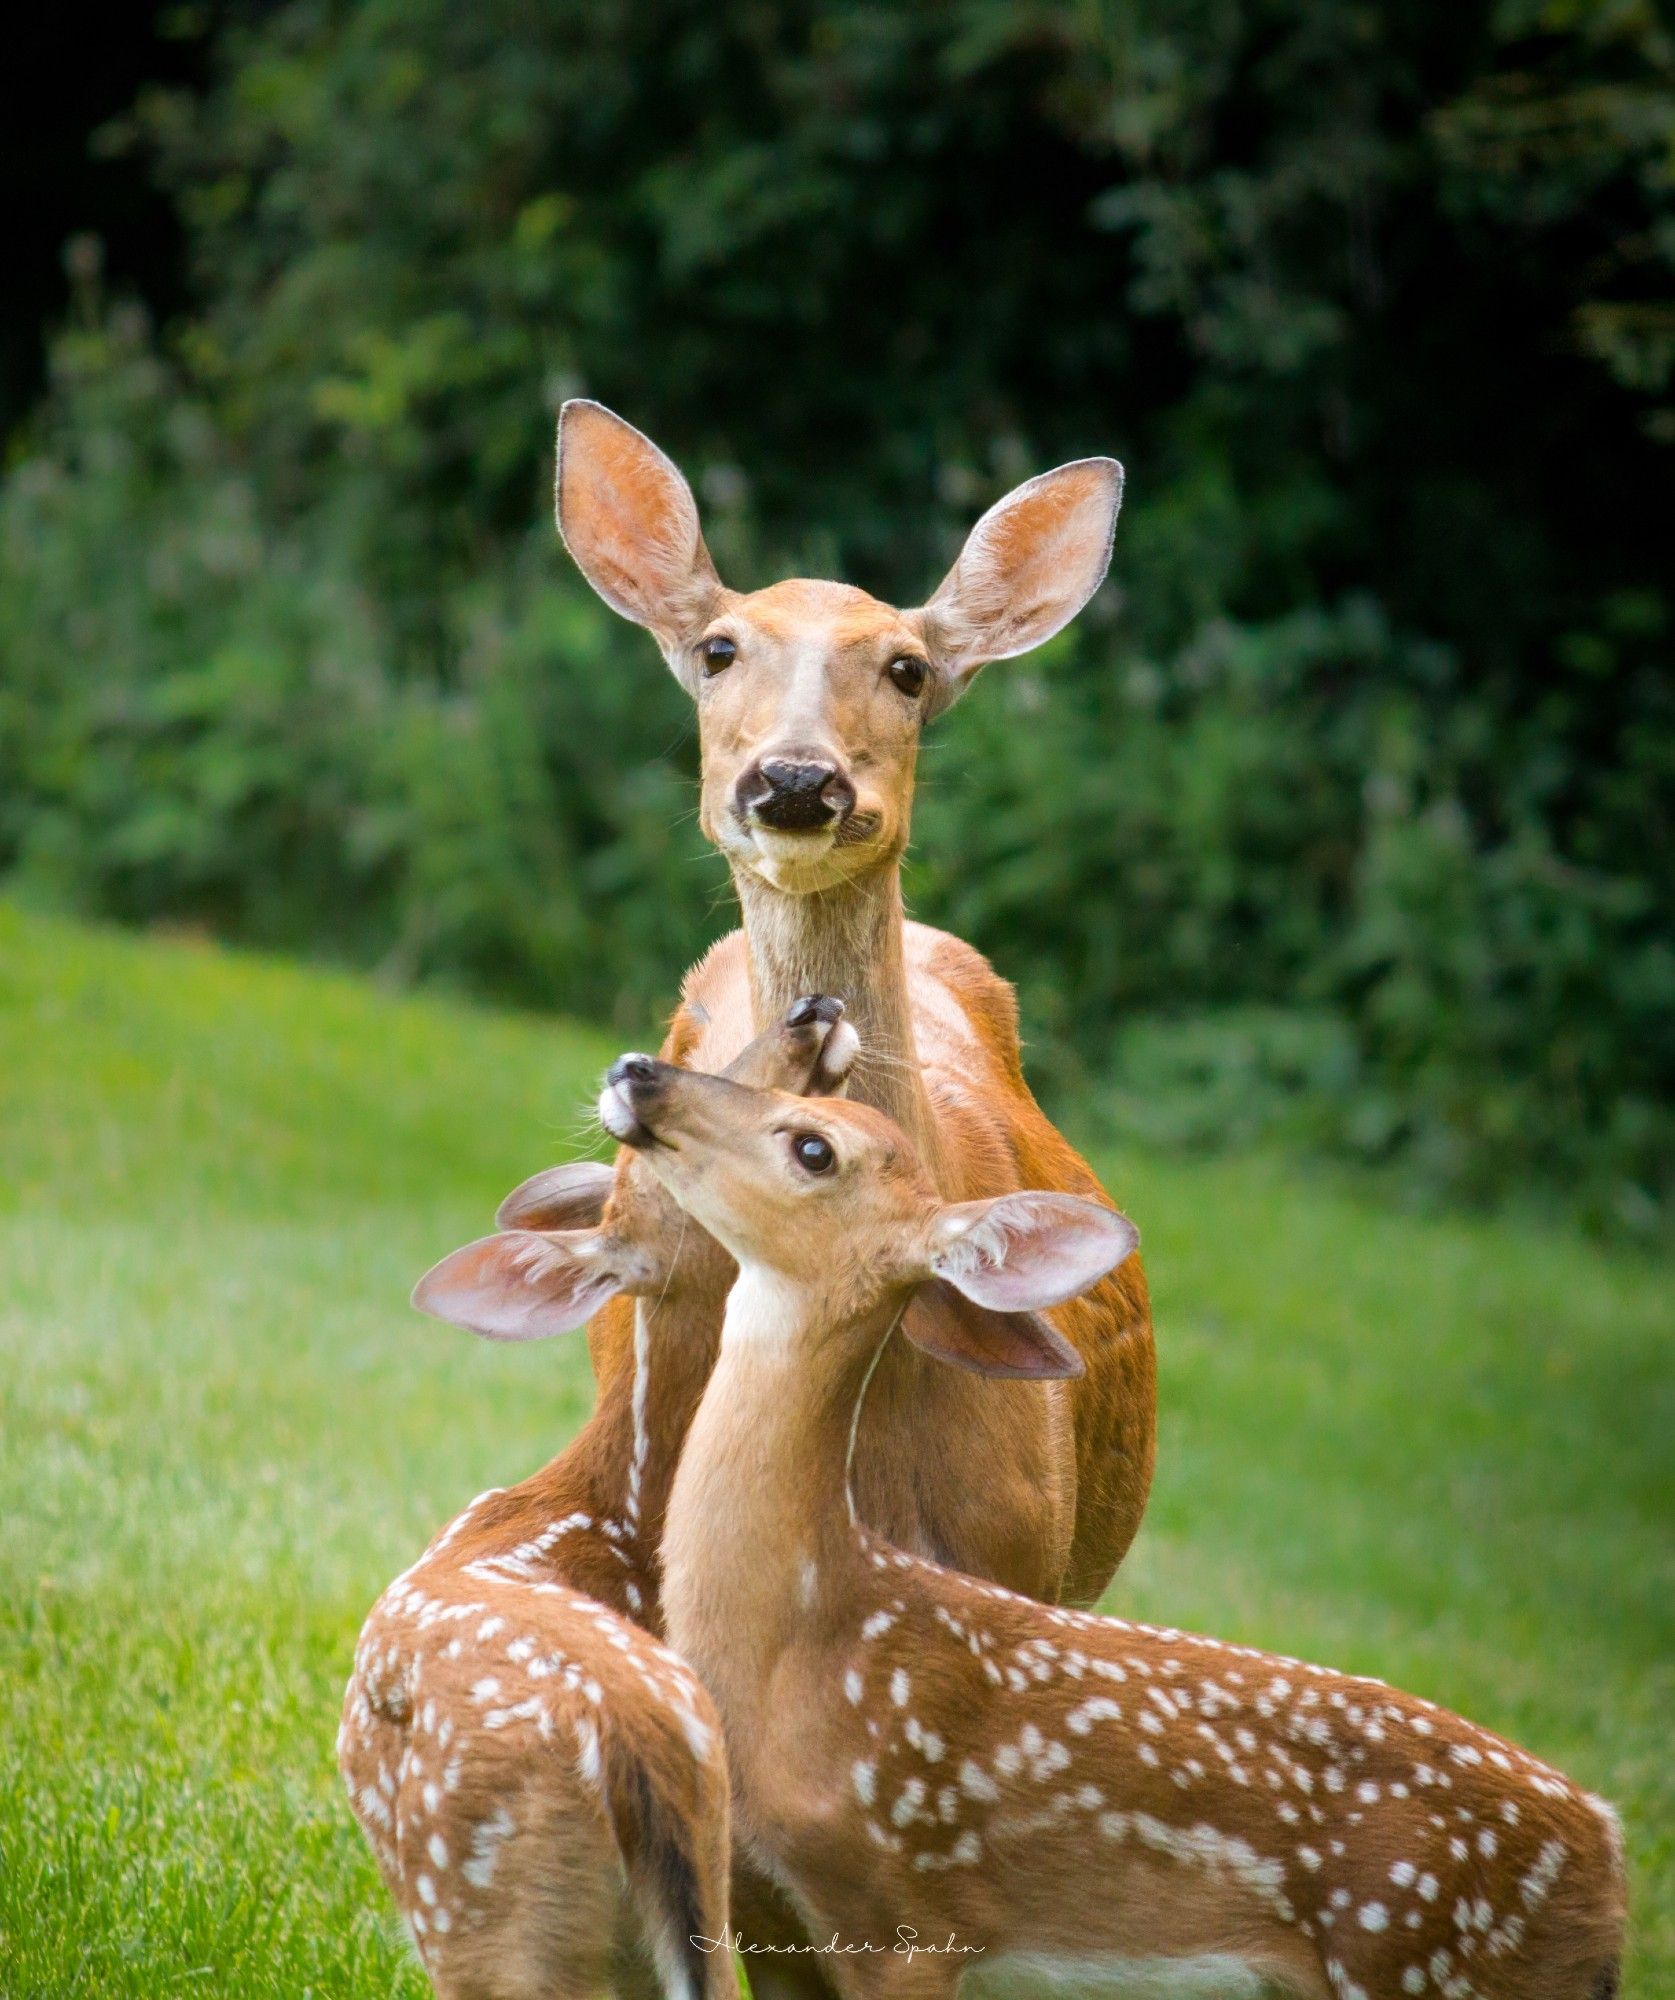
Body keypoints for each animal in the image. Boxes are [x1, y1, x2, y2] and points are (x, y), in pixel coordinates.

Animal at [587, 1056, 1623, 2000]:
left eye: (813, 1147)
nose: (638, 1070)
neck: (807, 1633)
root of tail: (1607, 1858)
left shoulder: (905, 1916)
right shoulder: (784, 1919)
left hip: (1422, 1957)